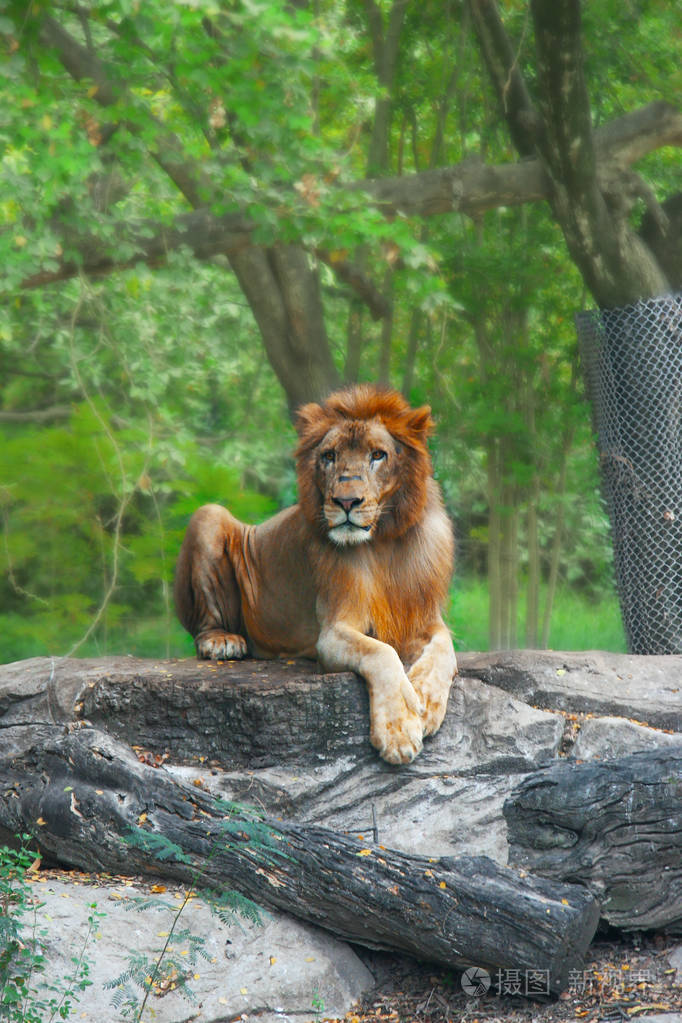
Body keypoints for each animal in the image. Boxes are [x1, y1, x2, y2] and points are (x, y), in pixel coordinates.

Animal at [173, 384, 458, 761]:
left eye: (377, 455)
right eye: (329, 456)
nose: (346, 502)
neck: (383, 542)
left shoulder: (424, 618)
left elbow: (444, 650)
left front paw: (424, 698)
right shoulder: (333, 632)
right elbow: (382, 654)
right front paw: (398, 732)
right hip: (209, 515)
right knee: (203, 626)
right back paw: (222, 642)